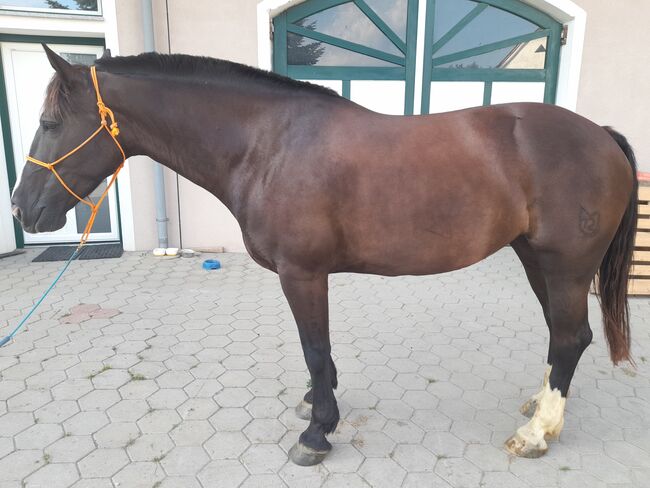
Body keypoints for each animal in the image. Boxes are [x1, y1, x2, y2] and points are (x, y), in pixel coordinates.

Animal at [10, 47, 636, 468]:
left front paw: (317, 433)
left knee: (571, 337)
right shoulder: (310, 276)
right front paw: (318, 403)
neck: (267, 144)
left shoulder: (302, 273)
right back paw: (540, 408)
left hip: (564, 265)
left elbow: (314, 347)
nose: (20, 209)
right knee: (560, 334)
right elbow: (320, 354)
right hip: (535, 259)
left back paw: (537, 433)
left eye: (48, 123)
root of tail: (600, 135)